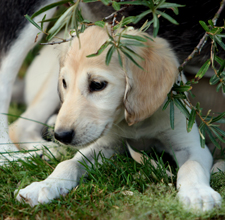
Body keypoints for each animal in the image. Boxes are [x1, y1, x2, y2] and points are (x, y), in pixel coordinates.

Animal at [15, 25, 221, 211]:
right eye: (65, 83)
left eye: (97, 84)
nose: (62, 136)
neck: (136, 124)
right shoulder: (103, 145)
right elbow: (68, 164)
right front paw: (44, 185)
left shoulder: (190, 144)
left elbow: (192, 166)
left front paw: (198, 193)